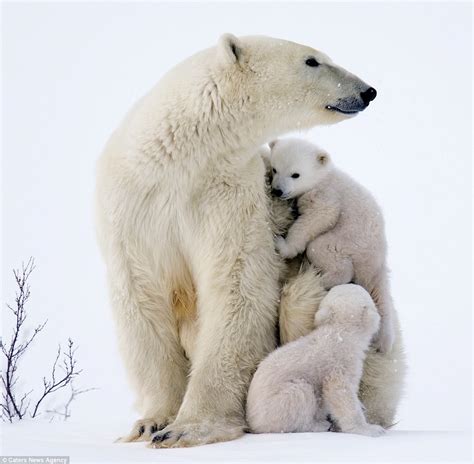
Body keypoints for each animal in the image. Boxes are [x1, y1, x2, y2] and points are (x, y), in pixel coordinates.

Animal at [96, 34, 400, 448]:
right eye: (312, 60)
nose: (366, 91)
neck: (180, 158)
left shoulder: (228, 193)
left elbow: (238, 285)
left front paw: (188, 427)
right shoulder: (134, 205)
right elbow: (142, 297)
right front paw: (152, 422)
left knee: (306, 298)